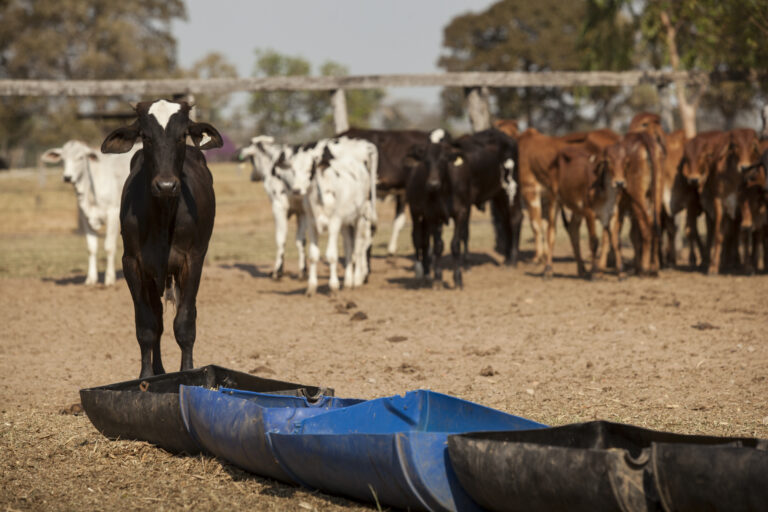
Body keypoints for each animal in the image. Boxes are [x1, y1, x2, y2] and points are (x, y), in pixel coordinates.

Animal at [41, 140, 139, 286]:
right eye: (63, 158)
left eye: (81, 157)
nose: (67, 177)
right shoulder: (84, 217)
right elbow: (91, 247)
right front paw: (91, 279)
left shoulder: (113, 213)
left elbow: (109, 247)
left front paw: (109, 279)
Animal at [101, 99, 221, 379]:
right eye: (145, 136)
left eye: (182, 135)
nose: (166, 185)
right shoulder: (132, 262)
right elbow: (147, 325)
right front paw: (146, 377)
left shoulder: (192, 259)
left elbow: (185, 322)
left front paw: (187, 371)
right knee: (156, 317)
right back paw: (158, 370)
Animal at [240, 136, 307, 279]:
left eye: (251, 159)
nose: (252, 177)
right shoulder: (302, 212)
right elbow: (301, 241)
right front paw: (303, 271)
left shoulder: (279, 207)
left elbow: (280, 239)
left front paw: (277, 271)